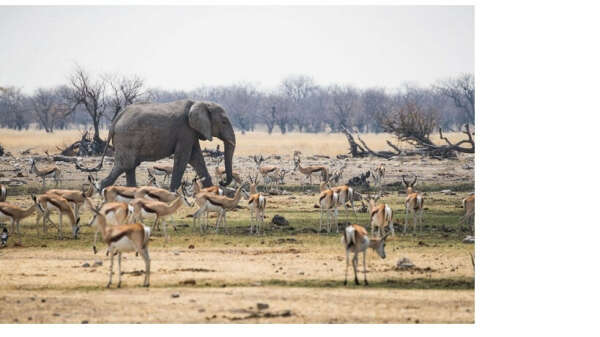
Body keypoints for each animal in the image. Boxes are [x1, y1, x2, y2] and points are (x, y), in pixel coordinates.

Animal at [92, 98, 236, 190]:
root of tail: (116, 120)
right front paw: (173, 193)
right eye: (224, 122)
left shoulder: (191, 132)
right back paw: (101, 189)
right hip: (126, 139)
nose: (222, 182)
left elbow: (196, 158)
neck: (200, 102)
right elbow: (183, 158)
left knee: (129, 166)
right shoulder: (185, 130)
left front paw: (211, 192)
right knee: (125, 165)